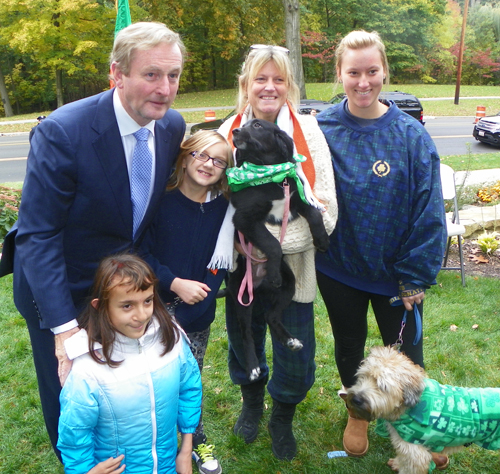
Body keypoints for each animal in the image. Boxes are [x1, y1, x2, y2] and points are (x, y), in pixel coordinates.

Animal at [227, 119, 328, 382]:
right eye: (244, 124)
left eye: (257, 125)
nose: (236, 131)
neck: (271, 175)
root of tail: (259, 286)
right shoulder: (244, 219)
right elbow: (272, 243)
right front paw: (272, 271)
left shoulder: (296, 201)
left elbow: (314, 213)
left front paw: (322, 239)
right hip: (242, 295)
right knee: (247, 333)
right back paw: (253, 367)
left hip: (289, 285)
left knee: (271, 316)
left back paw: (290, 340)